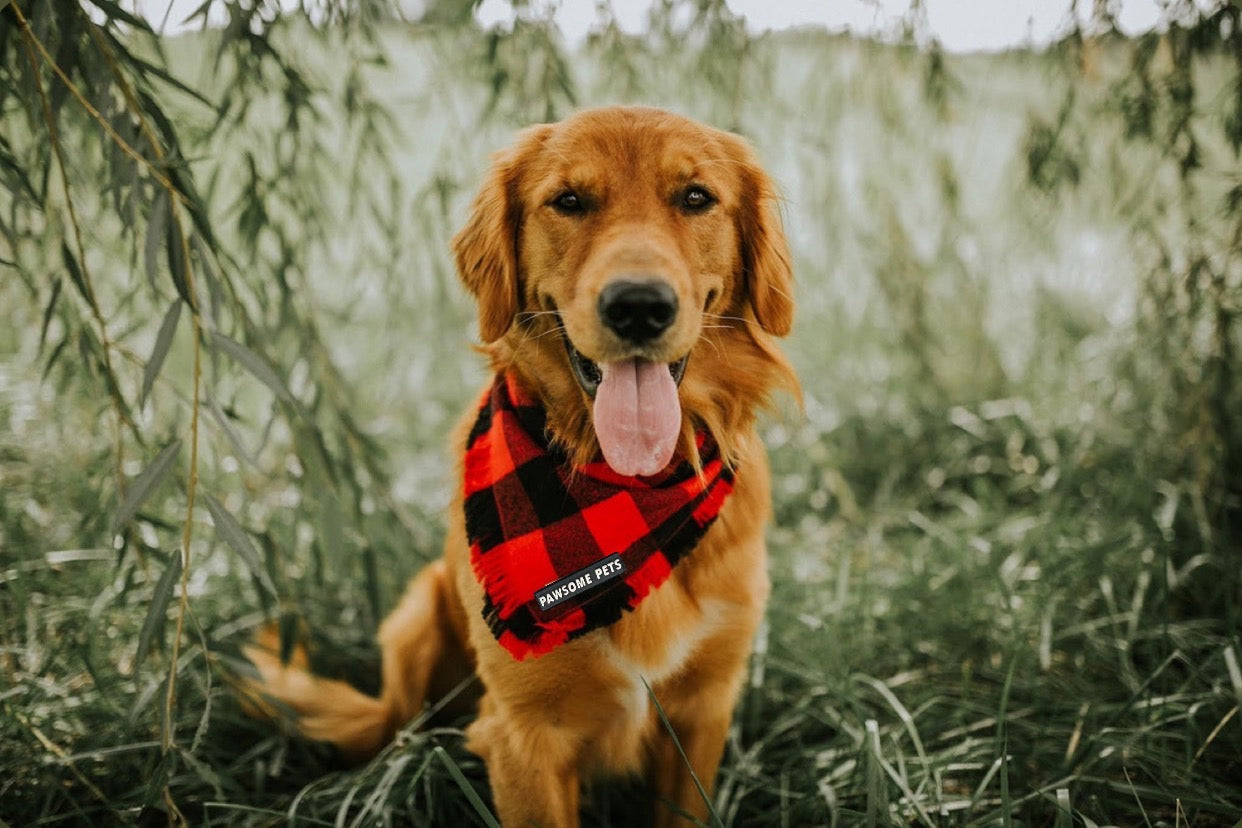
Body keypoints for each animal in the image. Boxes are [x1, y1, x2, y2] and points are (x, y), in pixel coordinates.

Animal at [244, 106, 794, 824]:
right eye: (569, 201)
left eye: (696, 197)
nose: (639, 306)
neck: (623, 489)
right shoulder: (523, 732)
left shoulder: (704, 708)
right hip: (416, 621)